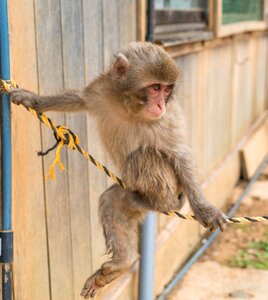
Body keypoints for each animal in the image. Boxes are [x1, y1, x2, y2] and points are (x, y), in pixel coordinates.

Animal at [9, 41, 225, 298]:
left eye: (166, 90)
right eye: (155, 88)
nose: (161, 104)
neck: (129, 105)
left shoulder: (165, 120)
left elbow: (180, 154)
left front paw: (204, 209)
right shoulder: (101, 90)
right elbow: (78, 98)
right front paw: (34, 100)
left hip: (172, 187)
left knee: (141, 157)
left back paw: (165, 205)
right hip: (130, 194)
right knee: (112, 201)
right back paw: (124, 260)